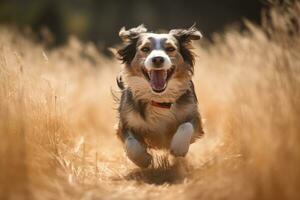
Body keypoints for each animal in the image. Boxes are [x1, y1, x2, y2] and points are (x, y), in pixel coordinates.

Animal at [114, 24, 204, 167]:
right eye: (145, 49)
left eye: (170, 49)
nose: (157, 59)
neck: (159, 98)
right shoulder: (125, 123)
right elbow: (131, 142)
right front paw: (143, 159)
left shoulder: (195, 117)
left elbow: (186, 126)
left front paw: (179, 147)